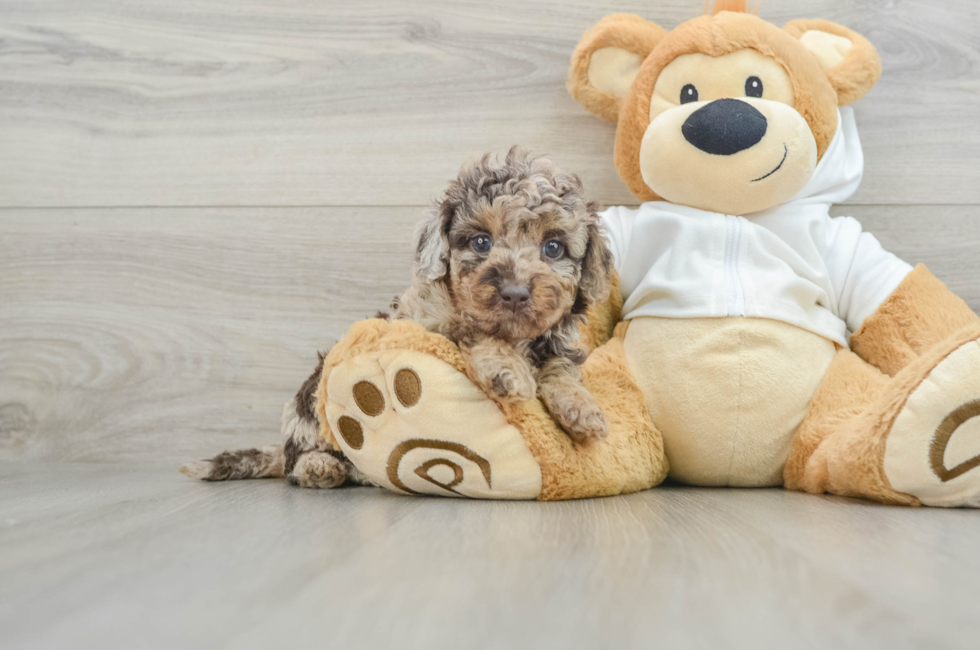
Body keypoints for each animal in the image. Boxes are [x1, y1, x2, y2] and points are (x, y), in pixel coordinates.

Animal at [182, 148, 612, 486]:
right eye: (481, 242)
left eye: (553, 247)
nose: (515, 292)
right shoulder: (427, 321)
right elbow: (471, 328)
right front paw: (509, 370)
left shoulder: (558, 342)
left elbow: (562, 370)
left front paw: (584, 410)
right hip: (309, 402)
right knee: (297, 456)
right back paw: (319, 467)